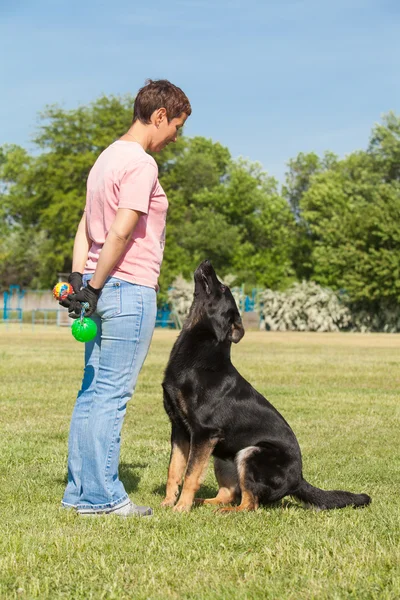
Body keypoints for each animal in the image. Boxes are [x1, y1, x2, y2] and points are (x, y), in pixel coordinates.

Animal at [160, 260, 372, 512]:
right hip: (225, 456)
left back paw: (223, 511)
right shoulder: (180, 430)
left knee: (249, 504)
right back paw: (205, 503)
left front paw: (181, 507)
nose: (208, 262)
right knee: (229, 493)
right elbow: (174, 470)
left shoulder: (204, 434)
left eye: (223, 288)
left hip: (250, 453)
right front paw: (167, 503)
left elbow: (191, 474)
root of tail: (299, 479)